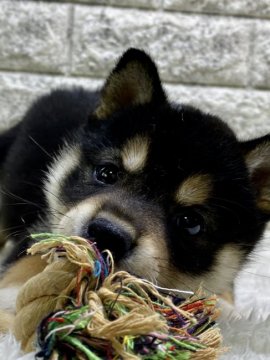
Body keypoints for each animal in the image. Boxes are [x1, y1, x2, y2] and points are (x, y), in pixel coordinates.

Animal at [0, 47, 268, 320]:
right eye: (107, 173)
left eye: (190, 222)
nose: (107, 235)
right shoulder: (42, 228)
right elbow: (36, 257)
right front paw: (16, 293)